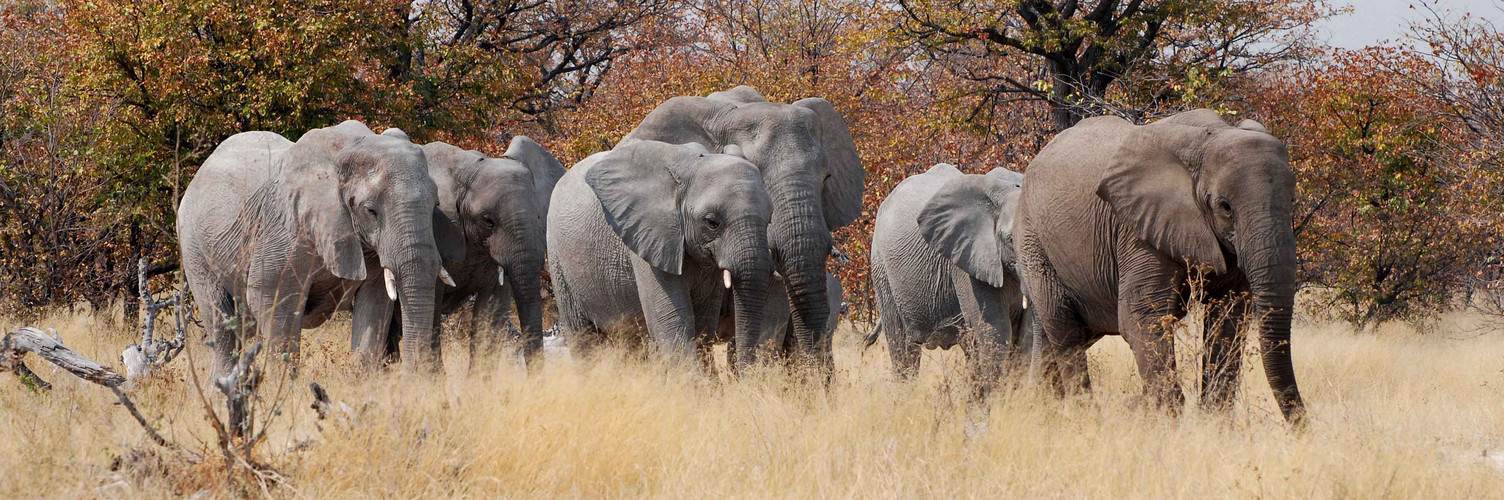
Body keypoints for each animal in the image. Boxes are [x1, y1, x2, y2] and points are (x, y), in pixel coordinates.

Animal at [176, 118, 460, 373]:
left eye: (435, 204)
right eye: (370, 211)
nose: (415, 376)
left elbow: (376, 302)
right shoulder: (283, 229)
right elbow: (272, 301)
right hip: (194, 246)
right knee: (223, 324)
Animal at [544, 139, 776, 362]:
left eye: (769, 220)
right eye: (712, 223)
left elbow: (703, 323)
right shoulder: (648, 235)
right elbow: (671, 321)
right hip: (559, 261)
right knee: (582, 337)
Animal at [860, 164, 1034, 397]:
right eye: (1010, 239)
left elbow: (1024, 334)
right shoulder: (966, 263)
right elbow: (995, 330)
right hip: (880, 267)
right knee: (902, 345)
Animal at [1016, 109, 1311, 421]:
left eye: (1292, 200)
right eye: (1225, 206)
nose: (1304, 426)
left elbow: (1229, 319)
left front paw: (1212, 423)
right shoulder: (1137, 229)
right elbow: (1142, 317)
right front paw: (1168, 422)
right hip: (1034, 243)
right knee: (1064, 328)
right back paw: (1082, 415)